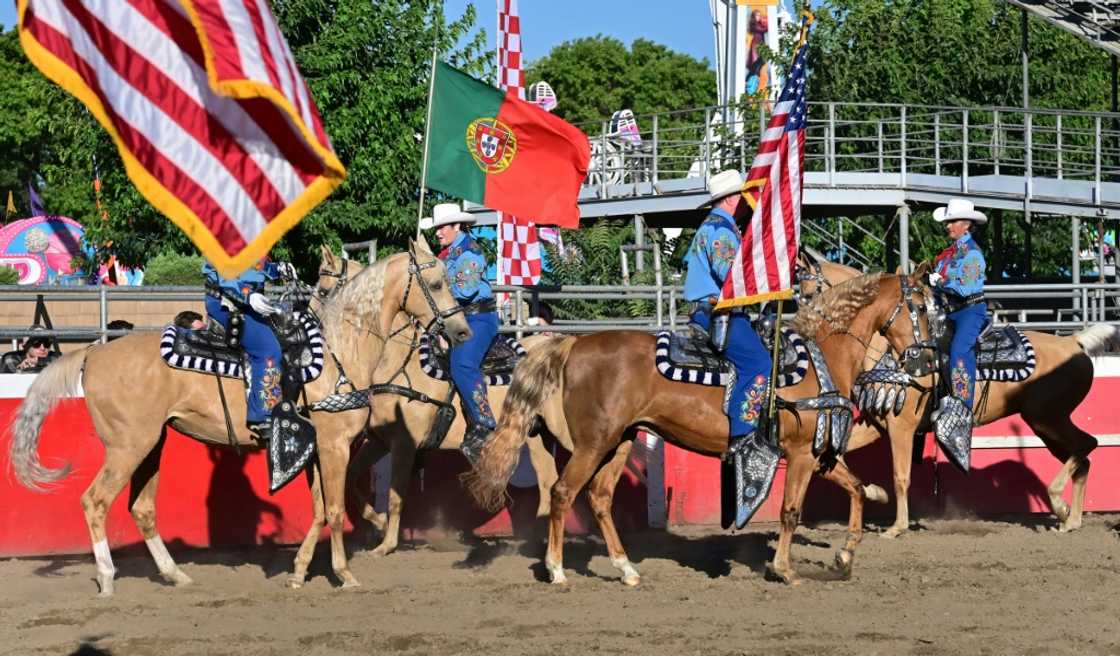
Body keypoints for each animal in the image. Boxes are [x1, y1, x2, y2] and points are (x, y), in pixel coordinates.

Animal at [5, 238, 468, 591]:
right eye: (436, 282)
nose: (461, 330)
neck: (340, 350)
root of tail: (93, 353)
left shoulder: (315, 449)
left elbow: (320, 509)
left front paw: (299, 572)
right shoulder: (335, 445)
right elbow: (335, 510)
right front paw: (344, 574)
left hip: (151, 444)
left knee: (142, 508)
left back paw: (175, 574)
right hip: (127, 447)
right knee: (95, 501)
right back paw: (106, 576)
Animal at [313, 247, 557, 555]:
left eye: (323, 290)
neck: (394, 362)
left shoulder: (404, 444)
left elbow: (396, 496)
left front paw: (387, 545)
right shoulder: (378, 440)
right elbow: (351, 480)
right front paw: (378, 523)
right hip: (537, 437)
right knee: (550, 480)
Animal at [468, 270, 931, 582]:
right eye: (924, 306)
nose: (925, 359)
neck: (822, 359)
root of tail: (573, 343)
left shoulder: (818, 453)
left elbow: (857, 489)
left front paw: (845, 555)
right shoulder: (800, 453)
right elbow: (790, 510)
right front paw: (784, 568)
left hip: (619, 442)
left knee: (599, 498)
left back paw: (626, 568)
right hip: (593, 444)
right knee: (563, 493)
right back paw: (558, 570)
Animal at [801, 252, 1115, 532]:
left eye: (811, 293)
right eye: (800, 296)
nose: (804, 329)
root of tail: (1073, 342)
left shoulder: (902, 426)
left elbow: (900, 475)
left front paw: (897, 527)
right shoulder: (876, 422)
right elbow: (835, 454)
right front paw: (873, 492)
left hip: (1049, 418)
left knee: (1087, 445)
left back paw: (1059, 503)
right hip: (1046, 425)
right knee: (1082, 458)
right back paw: (1071, 519)